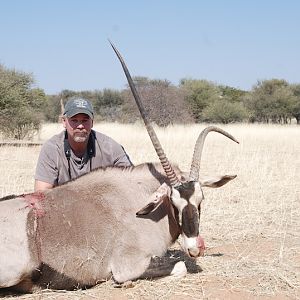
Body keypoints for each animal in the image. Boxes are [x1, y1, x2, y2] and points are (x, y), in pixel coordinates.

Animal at [0, 43, 239, 292]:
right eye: (174, 202)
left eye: (201, 200)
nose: (195, 248)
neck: (138, 201)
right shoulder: (128, 266)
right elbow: (180, 266)